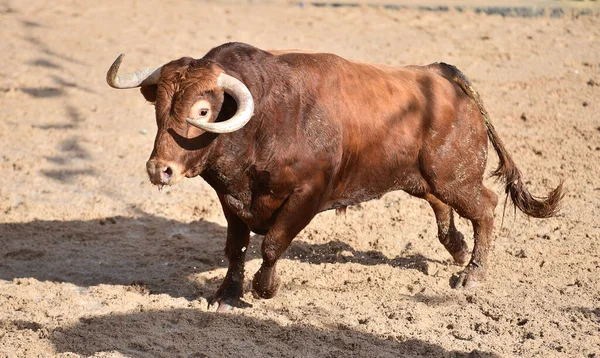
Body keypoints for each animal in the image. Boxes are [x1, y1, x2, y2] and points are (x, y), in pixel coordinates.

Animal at [106, 41, 564, 310]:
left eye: (203, 111)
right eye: (158, 108)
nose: (159, 169)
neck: (267, 120)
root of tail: (441, 74)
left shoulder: (307, 194)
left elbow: (272, 244)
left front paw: (265, 288)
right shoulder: (231, 199)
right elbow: (236, 248)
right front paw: (227, 294)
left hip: (454, 177)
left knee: (484, 207)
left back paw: (472, 274)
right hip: (422, 177)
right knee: (442, 207)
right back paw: (457, 249)